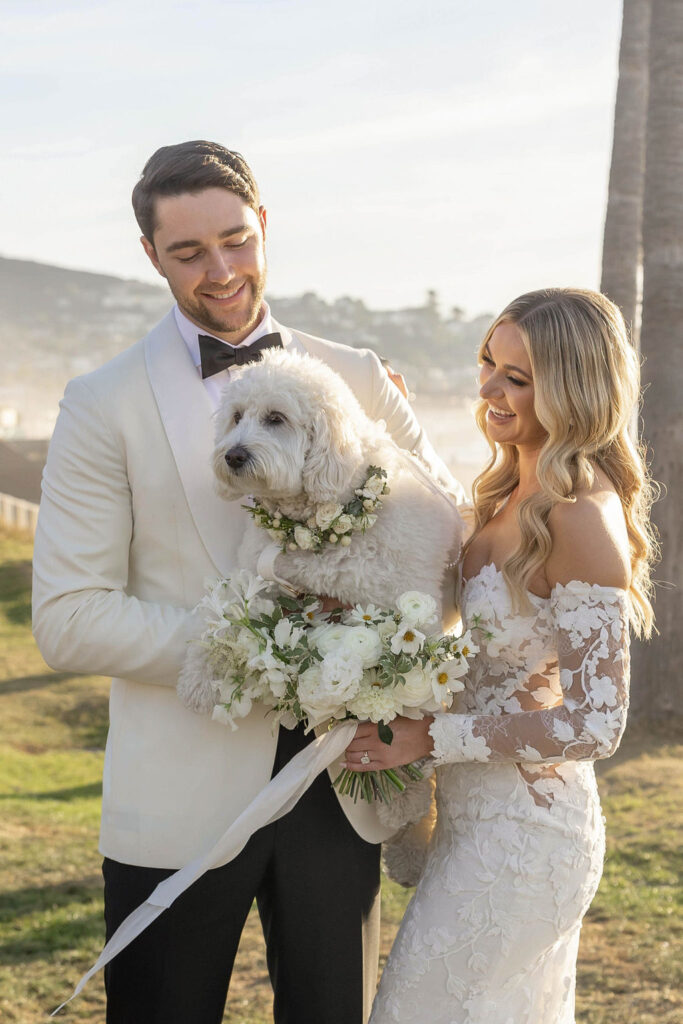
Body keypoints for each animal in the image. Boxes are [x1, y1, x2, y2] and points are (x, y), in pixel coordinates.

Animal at [179, 350, 462, 712]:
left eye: (276, 418)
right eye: (236, 417)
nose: (233, 456)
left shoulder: (404, 598)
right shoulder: (255, 575)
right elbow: (223, 616)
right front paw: (198, 676)